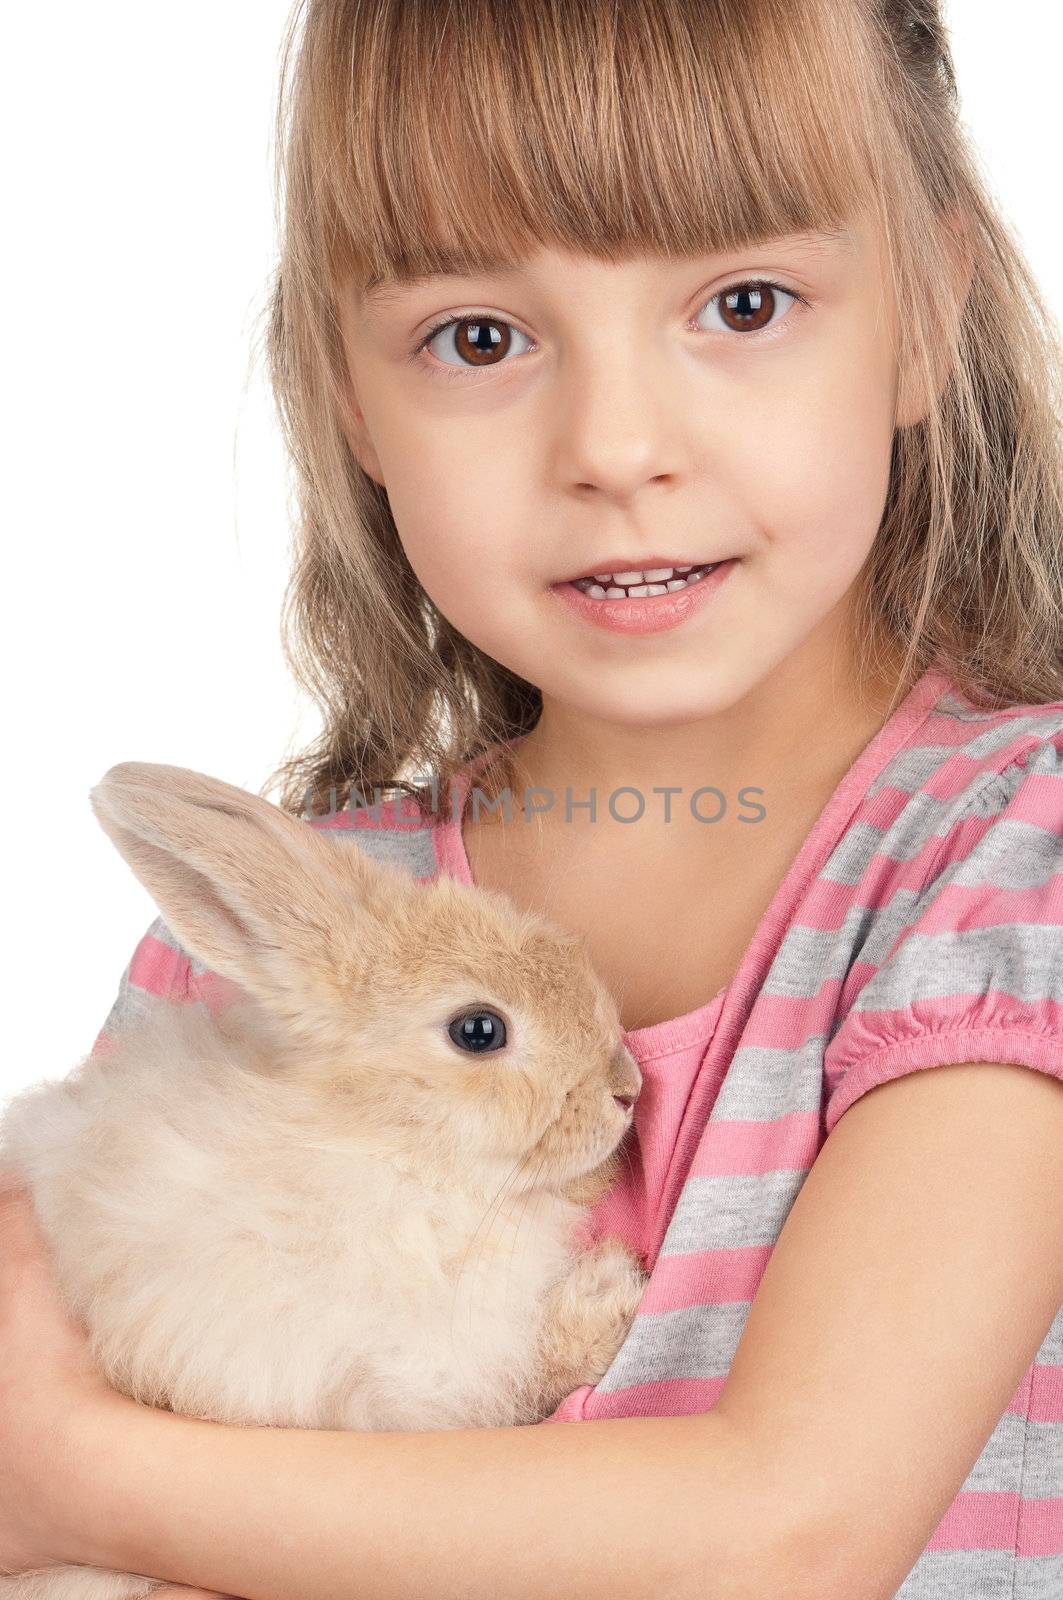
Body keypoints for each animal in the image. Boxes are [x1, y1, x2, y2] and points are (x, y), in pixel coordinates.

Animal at [0, 761, 653, 1600]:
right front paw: (610, 1293)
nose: (627, 1088)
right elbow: (521, 1376)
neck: (388, 1142)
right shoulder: (403, 1380)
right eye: (479, 1030)